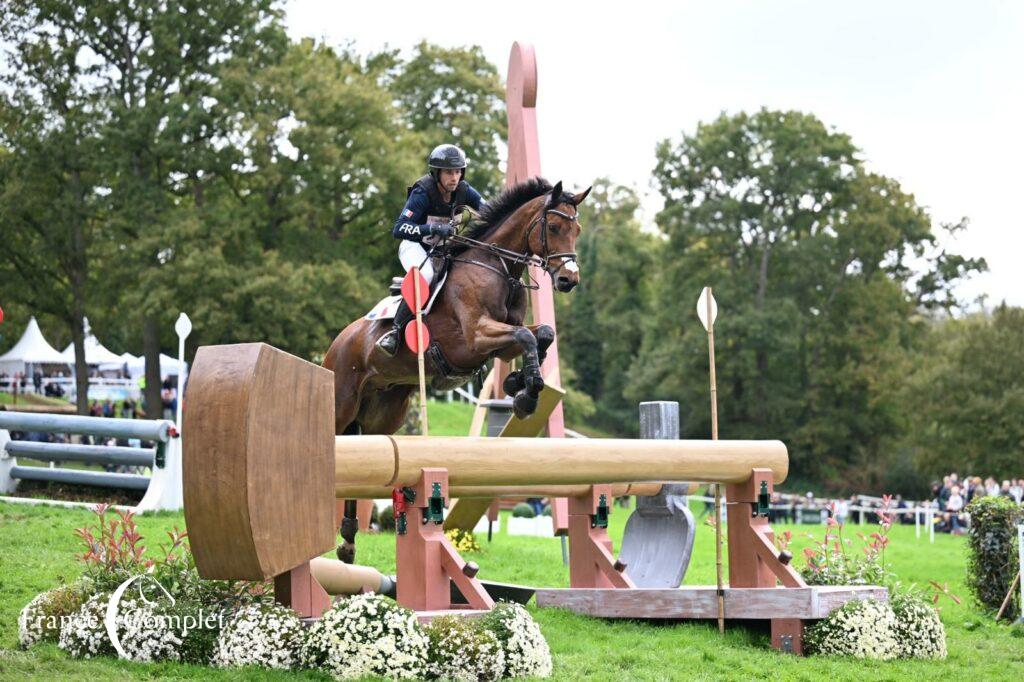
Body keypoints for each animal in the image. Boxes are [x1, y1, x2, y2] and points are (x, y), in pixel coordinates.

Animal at [323, 176, 589, 436]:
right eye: (553, 227)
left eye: (577, 230)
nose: (569, 279)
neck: (498, 267)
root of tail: (337, 342)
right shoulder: (476, 336)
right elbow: (526, 336)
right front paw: (527, 394)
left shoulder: (503, 344)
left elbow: (542, 333)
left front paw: (518, 383)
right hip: (341, 404)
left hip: (384, 412)